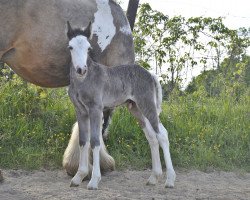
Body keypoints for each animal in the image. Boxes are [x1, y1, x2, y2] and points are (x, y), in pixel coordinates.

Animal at [66, 21, 176, 189]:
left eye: (88, 48)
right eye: (70, 47)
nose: (81, 69)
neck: (84, 80)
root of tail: (150, 74)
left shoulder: (96, 109)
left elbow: (95, 141)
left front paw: (93, 180)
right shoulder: (81, 111)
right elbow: (83, 141)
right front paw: (78, 177)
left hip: (147, 105)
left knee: (162, 135)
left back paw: (169, 180)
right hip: (137, 109)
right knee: (152, 137)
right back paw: (153, 178)